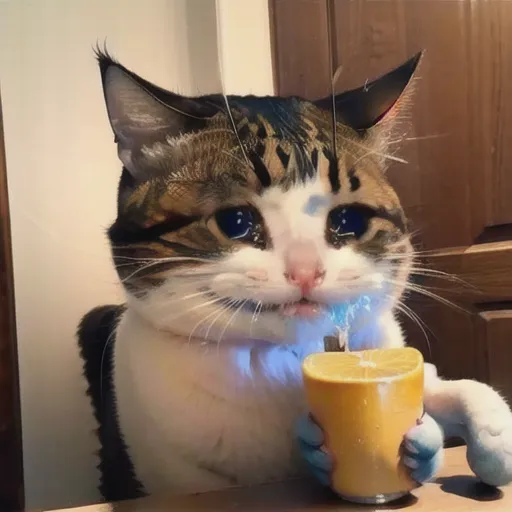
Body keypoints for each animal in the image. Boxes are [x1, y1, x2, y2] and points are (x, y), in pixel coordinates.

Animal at [78, 50, 512, 502]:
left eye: (348, 220)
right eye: (235, 221)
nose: (307, 271)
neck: (282, 360)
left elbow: (457, 387)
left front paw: (481, 442)